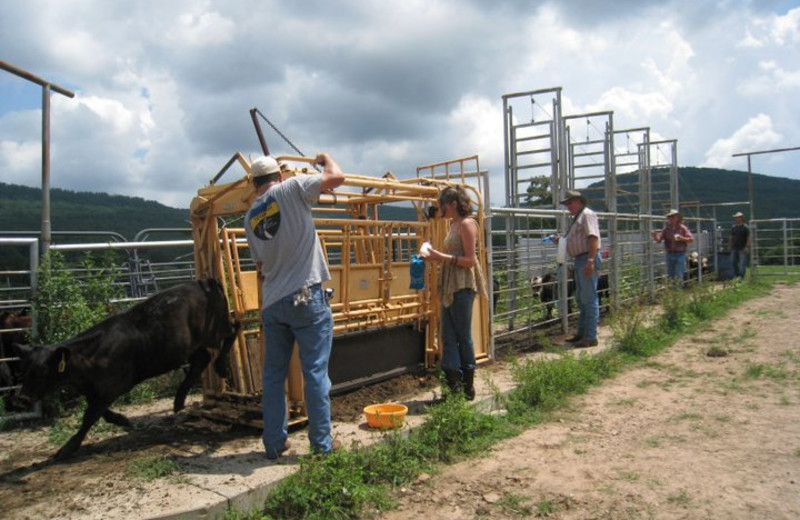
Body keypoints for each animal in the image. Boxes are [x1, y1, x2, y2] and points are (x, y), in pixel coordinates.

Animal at [14, 280, 238, 460]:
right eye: (23, 370)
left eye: (42, 371)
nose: (22, 399)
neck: (90, 357)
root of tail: (206, 282)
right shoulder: (96, 390)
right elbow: (100, 412)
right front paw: (122, 419)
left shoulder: (114, 387)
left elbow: (90, 415)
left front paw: (68, 448)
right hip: (187, 347)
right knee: (202, 358)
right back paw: (179, 399)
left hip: (214, 331)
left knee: (234, 329)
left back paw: (221, 367)